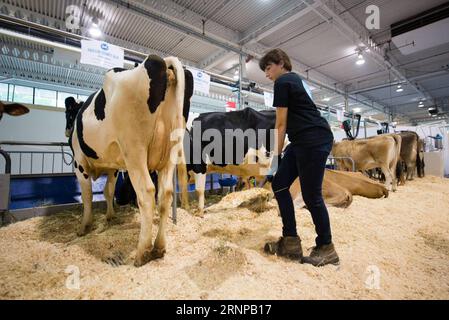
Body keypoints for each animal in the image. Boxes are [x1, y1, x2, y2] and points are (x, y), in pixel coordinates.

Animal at [71, 55, 186, 268]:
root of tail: (159, 61)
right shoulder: (114, 168)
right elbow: (108, 191)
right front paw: (110, 216)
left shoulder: (79, 163)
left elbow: (87, 196)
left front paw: (84, 226)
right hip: (170, 153)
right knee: (165, 194)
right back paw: (159, 247)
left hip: (134, 150)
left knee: (147, 193)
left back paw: (142, 252)